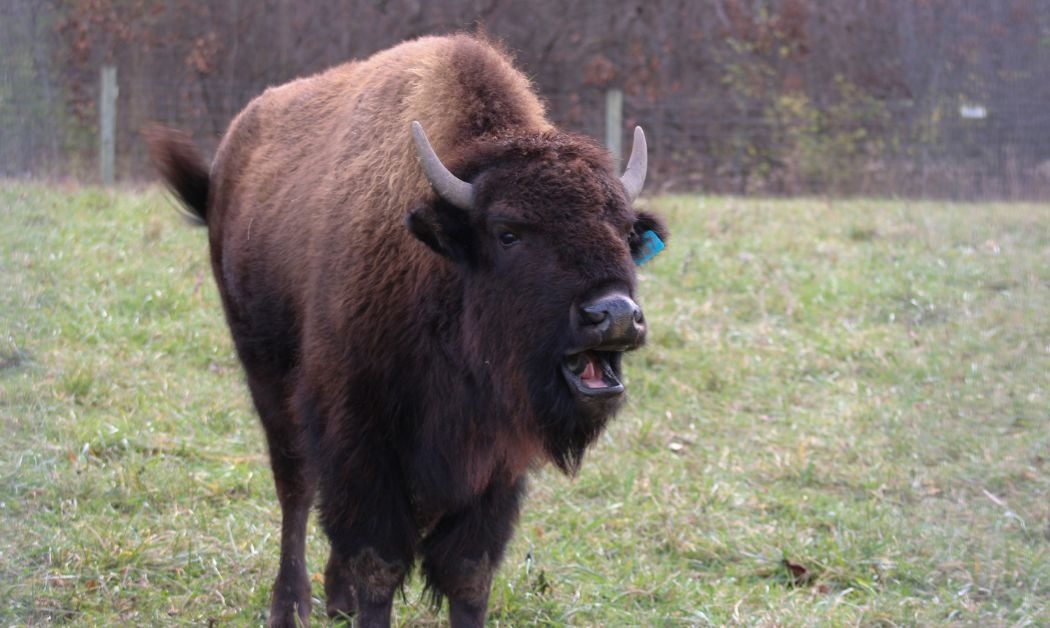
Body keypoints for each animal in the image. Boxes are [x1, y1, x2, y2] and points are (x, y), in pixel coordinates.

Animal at [148, 34, 667, 627]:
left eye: (626, 232)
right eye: (508, 232)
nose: (616, 313)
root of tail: (226, 164)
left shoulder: (497, 461)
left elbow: (468, 573)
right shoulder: (361, 432)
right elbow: (379, 559)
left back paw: (338, 600)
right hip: (267, 376)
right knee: (295, 488)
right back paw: (291, 604)